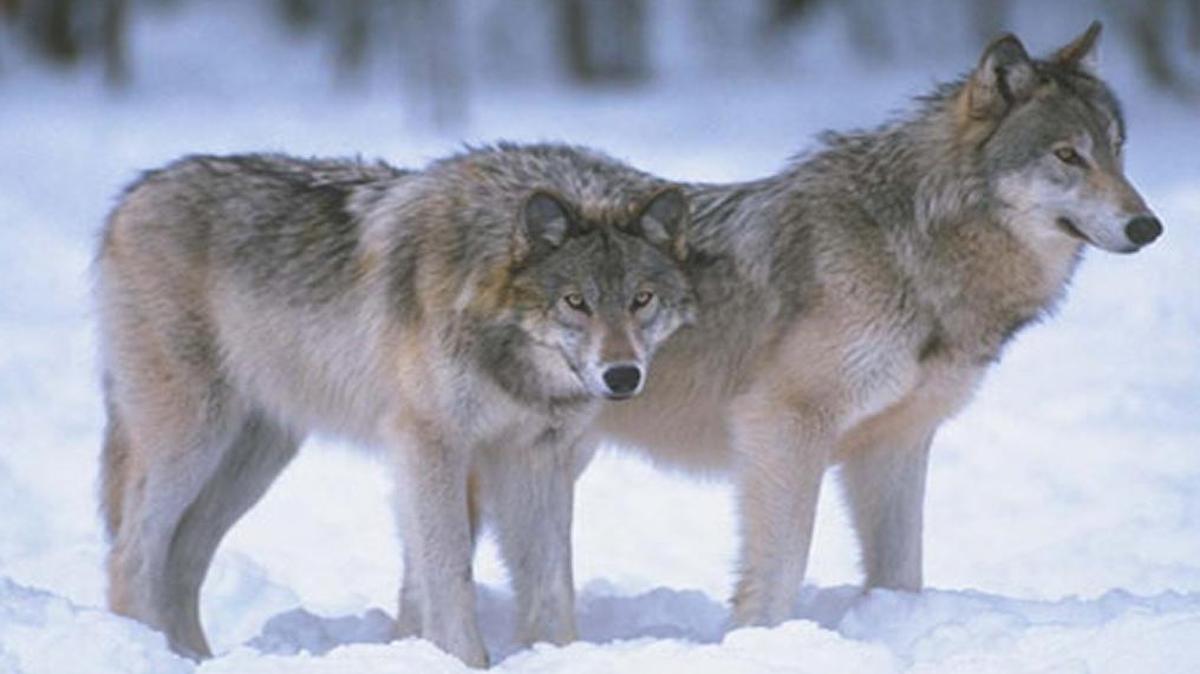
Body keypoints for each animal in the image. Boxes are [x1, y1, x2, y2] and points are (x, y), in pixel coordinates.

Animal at [96, 143, 694, 667]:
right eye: (576, 302)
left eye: (641, 300)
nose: (623, 375)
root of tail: (133, 195)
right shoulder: (430, 443)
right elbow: (448, 571)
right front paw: (463, 660)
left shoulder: (538, 457)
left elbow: (551, 584)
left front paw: (559, 656)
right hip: (193, 440)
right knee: (132, 553)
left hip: (253, 461)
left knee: (182, 558)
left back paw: (194, 658)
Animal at [593, 22, 1161, 627]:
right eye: (1068, 155)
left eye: (1117, 150)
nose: (1148, 226)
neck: (910, 250)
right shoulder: (784, 423)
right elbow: (780, 571)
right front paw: (758, 637)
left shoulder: (896, 442)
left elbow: (902, 574)